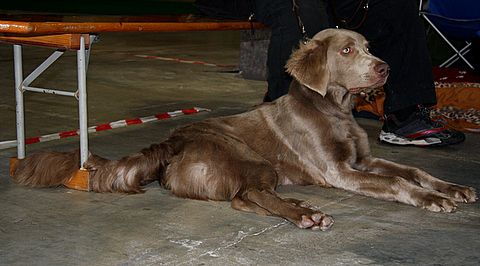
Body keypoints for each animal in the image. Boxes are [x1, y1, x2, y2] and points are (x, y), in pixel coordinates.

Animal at [12, 29, 476, 231]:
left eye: (366, 47)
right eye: (347, 50)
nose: (385, 68)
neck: (334, 110)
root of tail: (168, 142)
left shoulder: (363, 159)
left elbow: (414, 171)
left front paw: (452, 189)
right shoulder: (341, 172)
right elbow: (398, 184)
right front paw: (433, 200)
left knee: (246, 198)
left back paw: (300, 207)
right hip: (249, 156)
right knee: (248, 194)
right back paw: (307, 214)